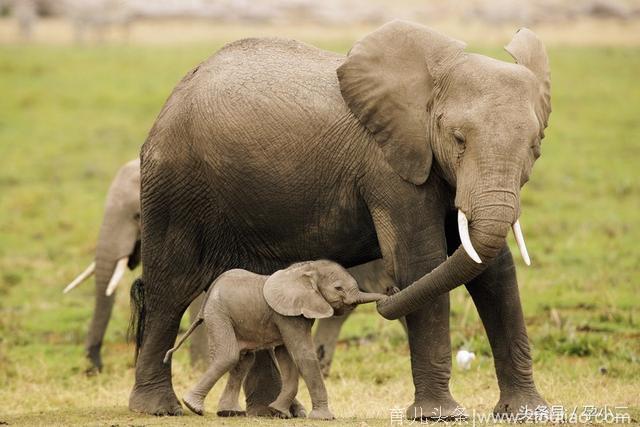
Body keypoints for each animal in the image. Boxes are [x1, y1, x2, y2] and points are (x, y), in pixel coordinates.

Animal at [162, 260, 388, 420]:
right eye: (339, 288)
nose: (389, 293)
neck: (306, 269)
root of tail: (210, 291)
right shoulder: (288, 314)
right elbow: (302, 355)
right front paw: (324, 418)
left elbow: (286, 357)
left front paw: (278, 412)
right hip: (218, 313)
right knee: (228, 355)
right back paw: (193, 406)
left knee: (244, 360)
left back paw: (229, 412)